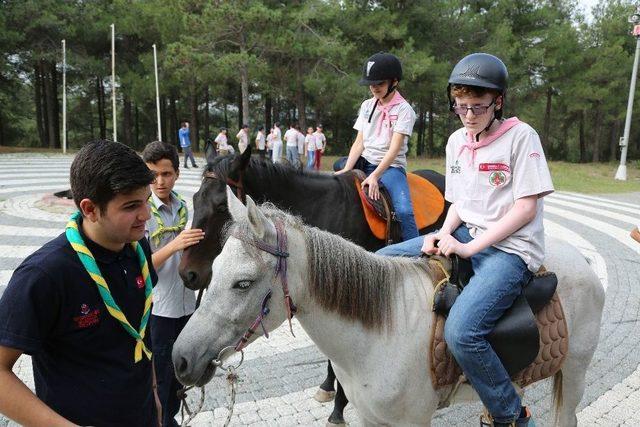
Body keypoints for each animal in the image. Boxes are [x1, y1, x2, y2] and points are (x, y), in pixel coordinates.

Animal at [175, 146, 444, 424]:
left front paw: (338, 406)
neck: (325, 208)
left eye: (220, 205)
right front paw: (328, 387)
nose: (187, 274)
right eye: (194, 199)